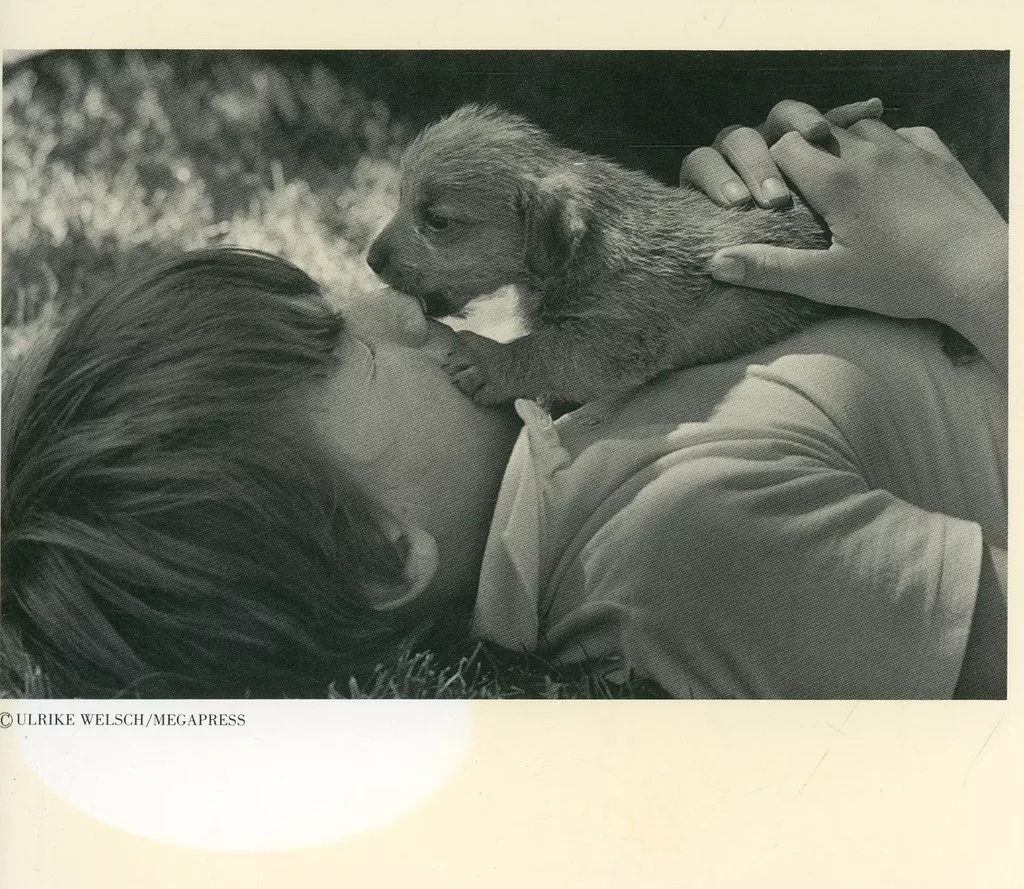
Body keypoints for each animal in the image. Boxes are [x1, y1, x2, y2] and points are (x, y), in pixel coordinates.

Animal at [367, 104, 974, 405]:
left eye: (437, 220)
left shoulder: (623, 335)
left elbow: (552, 352)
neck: (591, 244)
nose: (370, 260)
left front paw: (491, 360)